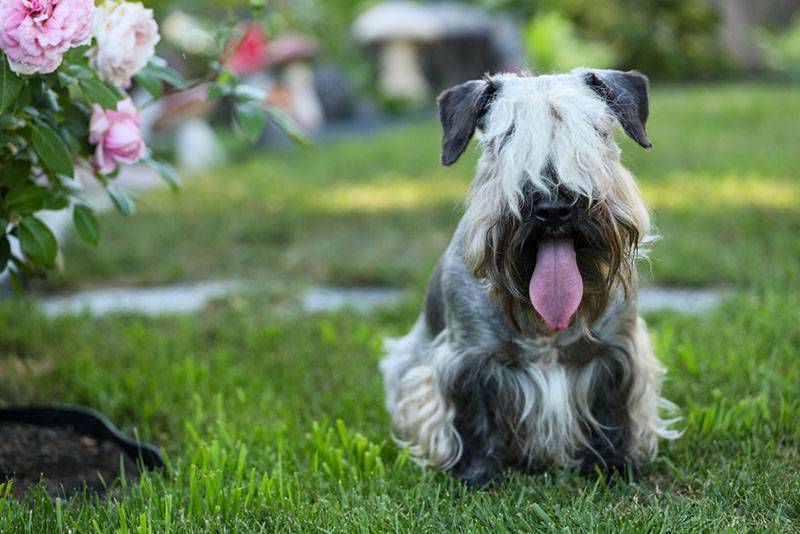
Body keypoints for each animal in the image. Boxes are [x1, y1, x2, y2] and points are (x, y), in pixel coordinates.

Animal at [378, 69, 680, 488]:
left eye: (595, 130)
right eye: (505, 136)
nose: (553, 206)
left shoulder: (614, 353)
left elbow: (610, 414)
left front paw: (612, 466)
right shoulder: (469, 358)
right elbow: (472, 418)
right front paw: (477, 475)